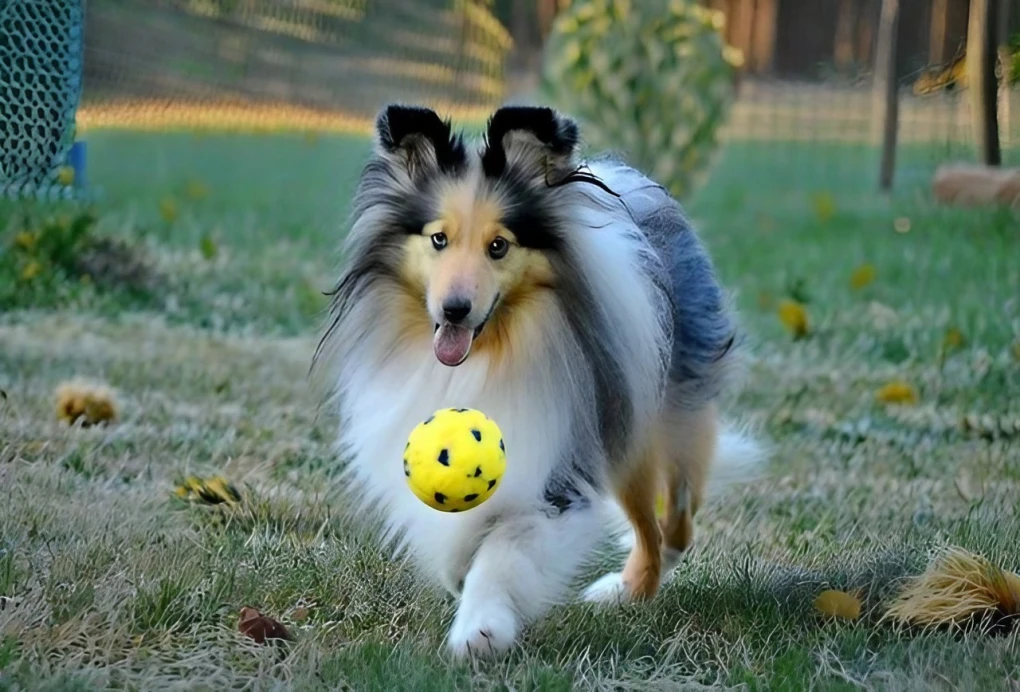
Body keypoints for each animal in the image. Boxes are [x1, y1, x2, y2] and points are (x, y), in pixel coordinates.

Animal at [312, 104, 767, 661]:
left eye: (498, 246)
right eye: (439, 239)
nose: (454, 310)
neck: (490, 353)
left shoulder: (558, 465)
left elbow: (507, 550)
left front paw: (481, 629)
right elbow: (463, 544)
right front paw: (461, 573)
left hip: (657, 412)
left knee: (674, 515)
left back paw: (628, 583)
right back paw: (625, 589)